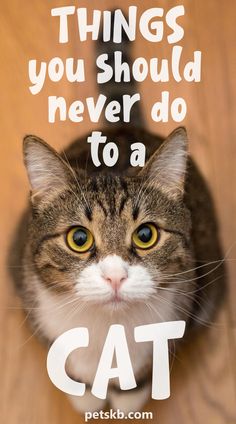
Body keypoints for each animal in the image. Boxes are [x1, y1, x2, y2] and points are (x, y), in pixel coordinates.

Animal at [9, 16, 226, 414]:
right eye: (79, 239)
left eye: (146, 235)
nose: (114, 277)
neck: (108, 332)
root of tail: (119, 128)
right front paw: (85, 394)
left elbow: (147, 368)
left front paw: (129, 397)